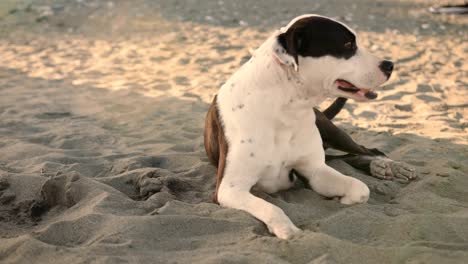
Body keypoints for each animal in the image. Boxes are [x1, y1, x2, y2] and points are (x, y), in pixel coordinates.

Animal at [203, 14, 414, 239]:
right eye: (348, 45)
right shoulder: (230, 188)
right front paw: (288, 230)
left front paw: (344, 199)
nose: (390, 64)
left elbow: (359, 188)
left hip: (332, 132)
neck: (285, 108)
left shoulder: (315, 171)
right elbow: (271, 208)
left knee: (369, 150)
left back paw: (389, 166)